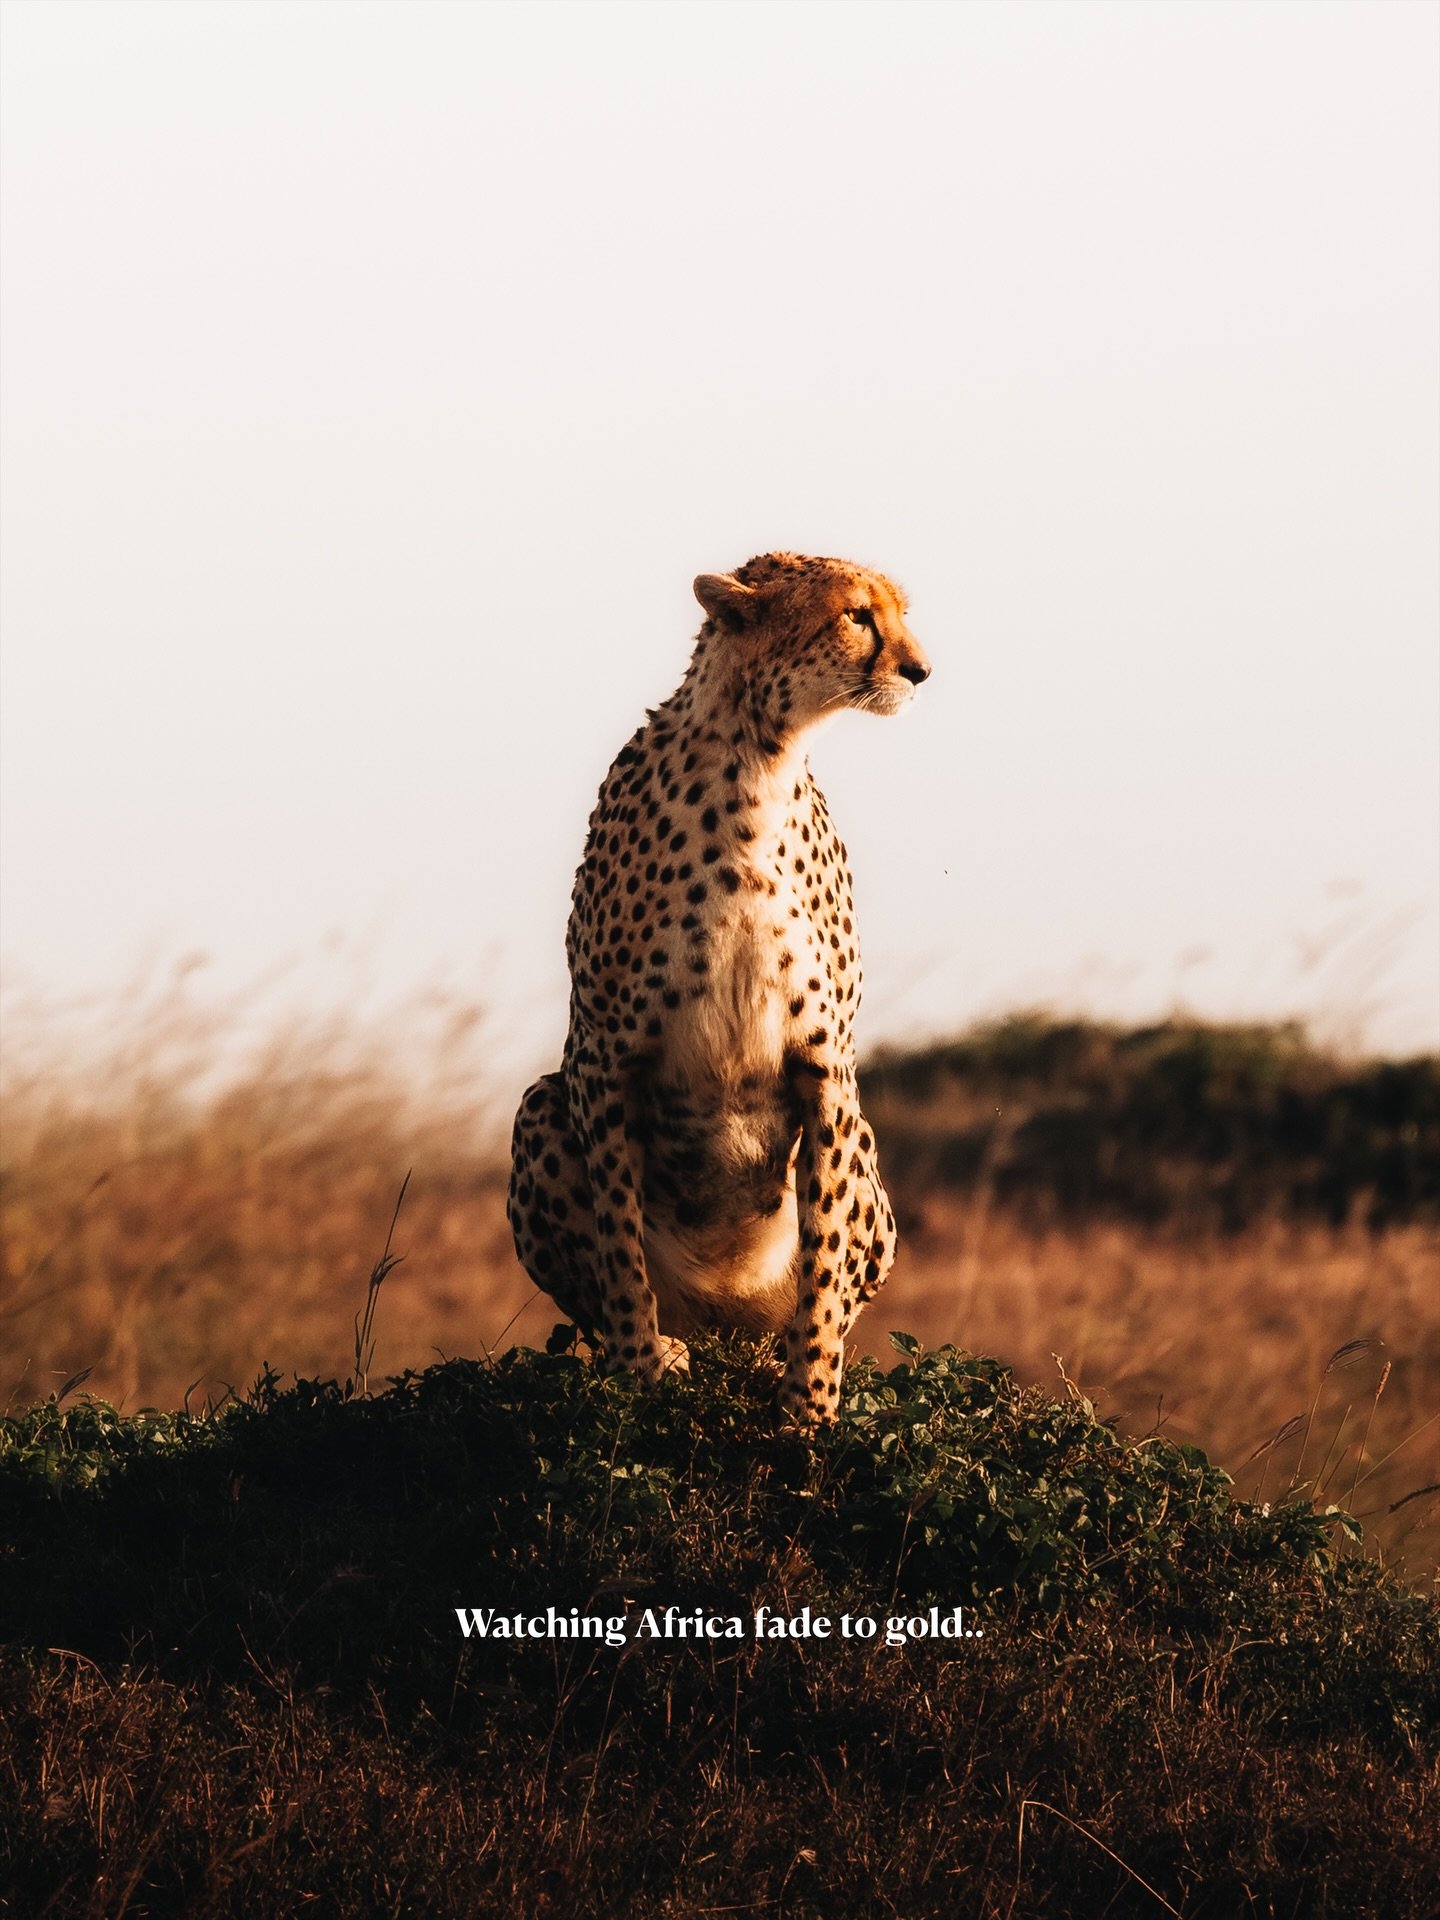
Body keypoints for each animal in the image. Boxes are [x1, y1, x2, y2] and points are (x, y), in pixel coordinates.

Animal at [507, 551, 931, 1426]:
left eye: (900, 613)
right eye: (857, 615)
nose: (921, 670)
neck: (756, 763)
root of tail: (723, 1327)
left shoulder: (826, 1067)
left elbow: (825, 1248)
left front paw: (811, 1405)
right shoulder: (603, 1057)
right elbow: (619, 1243)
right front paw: (640, 1367)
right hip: (540, 1107)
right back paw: (670, 1348)